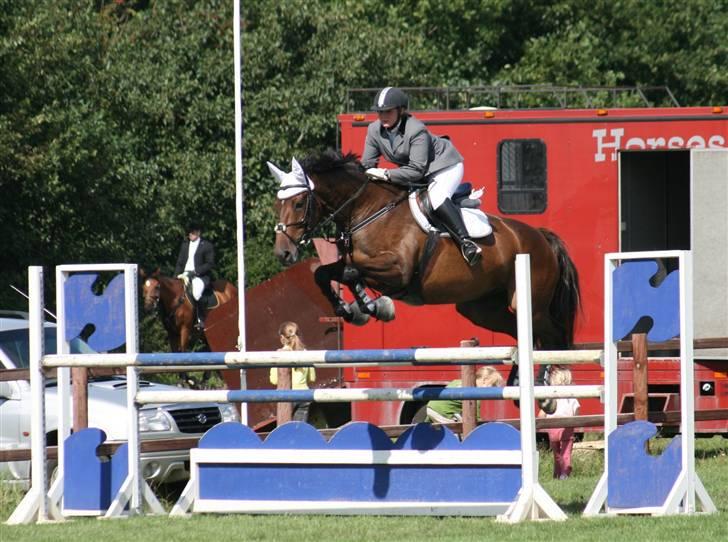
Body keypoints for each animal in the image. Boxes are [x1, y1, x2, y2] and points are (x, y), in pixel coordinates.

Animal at [270, 151, 584, 398]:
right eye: (278, 203)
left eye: (299, 203)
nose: (283, 253)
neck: (368, 211)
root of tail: (541, 237)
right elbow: (326, 273)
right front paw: (355, 309)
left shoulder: (398, 271)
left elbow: (351, 270)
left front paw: (372, 306)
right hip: (481, 309)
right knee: (523, 333)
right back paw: (517, 382)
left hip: (531, 303)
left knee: (550, 336)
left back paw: (543, 388)